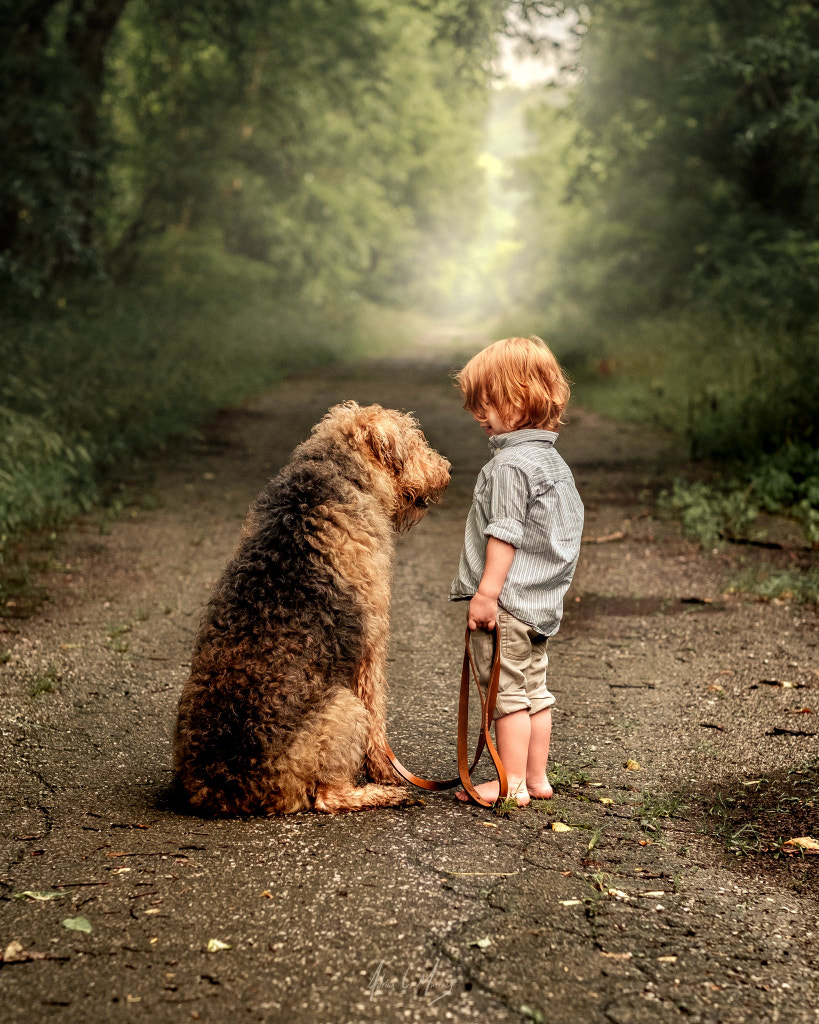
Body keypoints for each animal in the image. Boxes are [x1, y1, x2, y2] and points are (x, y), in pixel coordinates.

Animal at [174, 401, 450, 815]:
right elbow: (378, 716)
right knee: (328, 797)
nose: (445, 470)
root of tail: (224, 788)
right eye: (414, 441)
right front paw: (386, 773)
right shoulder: (371, 645)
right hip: (344, 709)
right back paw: (383, 794)